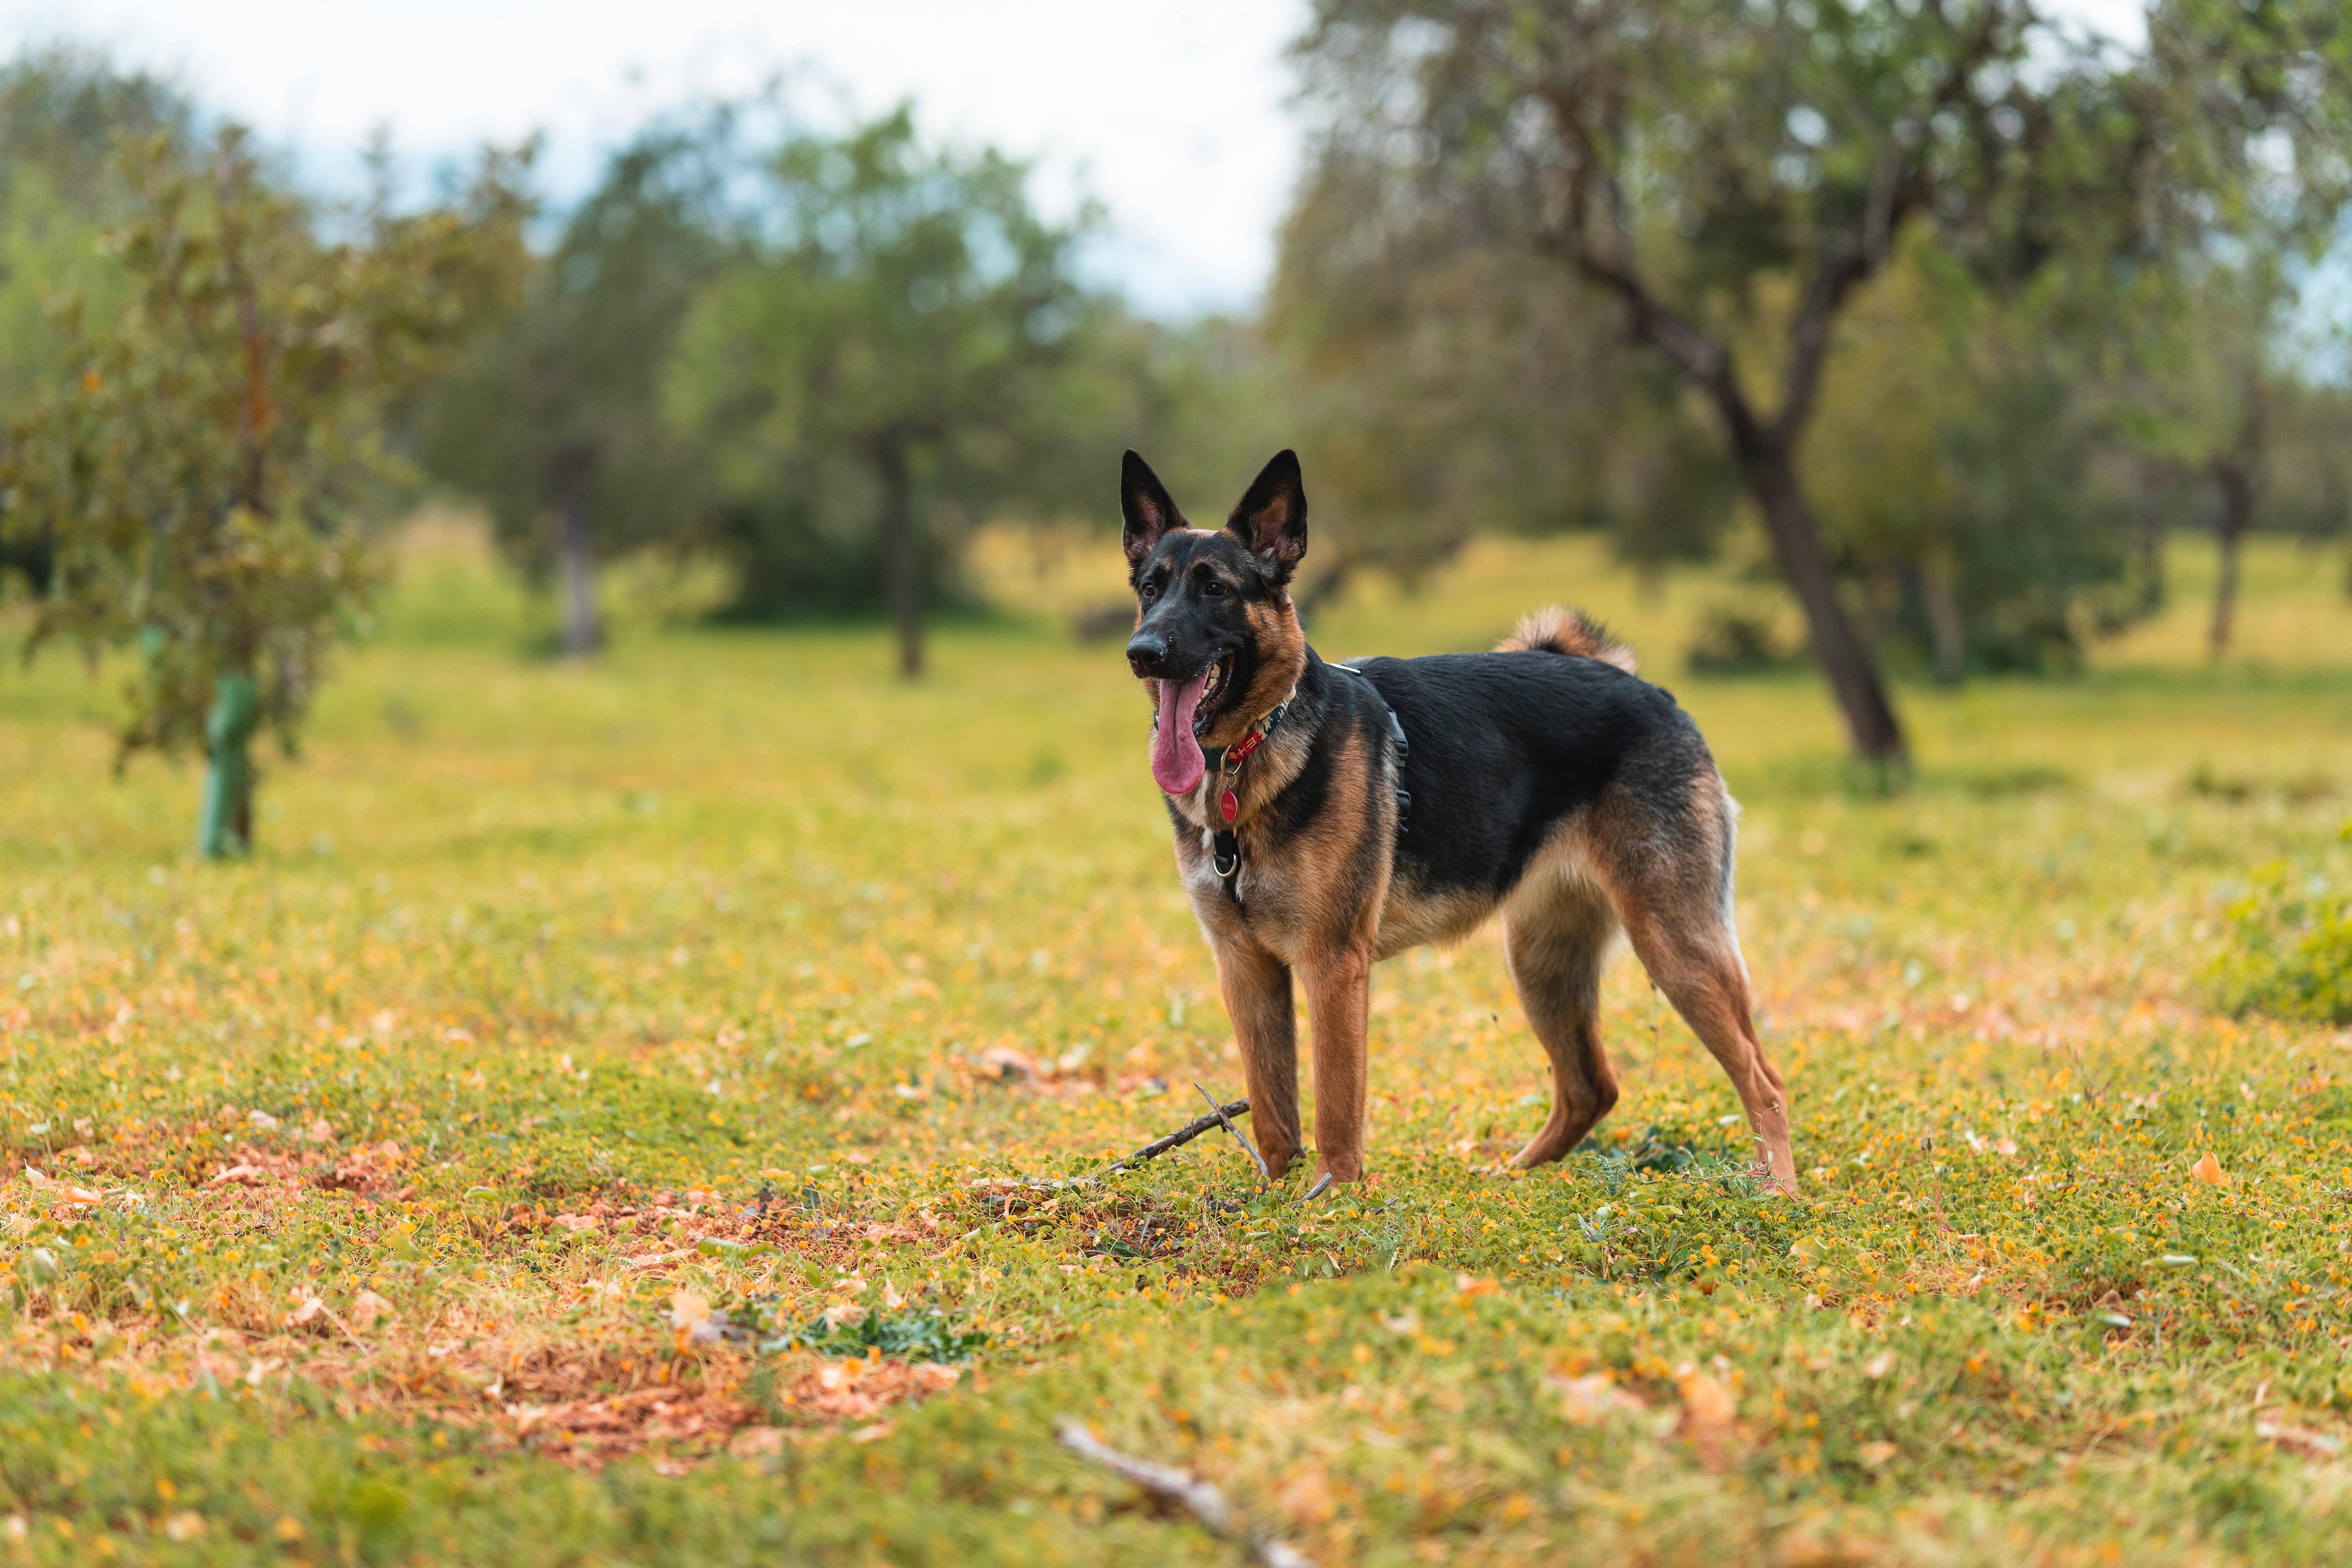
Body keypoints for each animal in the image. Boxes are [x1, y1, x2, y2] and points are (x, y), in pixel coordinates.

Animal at [1124, 446, 1797, 1194]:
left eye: (1214, 588)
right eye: (1149, 588)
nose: (1142, 651)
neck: (1252, 752)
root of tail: (1651, 692)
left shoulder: (1333, 964)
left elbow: (1336, 1106)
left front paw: (1331, 1199)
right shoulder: (1245, 967)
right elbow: (1274, 1112)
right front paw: (1275, 1199)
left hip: (1675, 945)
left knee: (1764, 1081)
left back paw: (1780, 1194)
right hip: (1541, 959)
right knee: (1590, 1087)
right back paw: (1514, 1181)